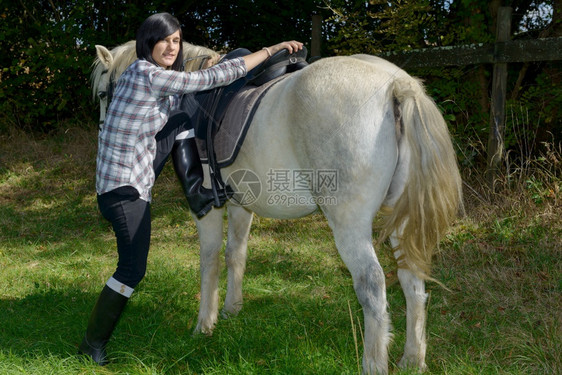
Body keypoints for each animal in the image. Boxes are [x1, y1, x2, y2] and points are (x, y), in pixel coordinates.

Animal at [91, 41, 460, 375]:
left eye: (103, 93)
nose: (105, 130)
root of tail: (395, 84)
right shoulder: (240, 205)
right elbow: (235, 255)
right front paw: (232, 308)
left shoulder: (207, 209)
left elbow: (209, 260)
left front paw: (204, 324)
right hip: (402, 220)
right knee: (411, 281)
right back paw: (412, 359)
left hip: (349, 225)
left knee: (372, 287)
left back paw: (373, 364)